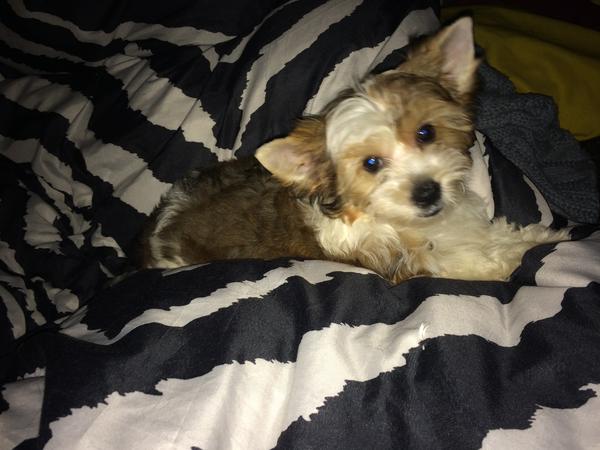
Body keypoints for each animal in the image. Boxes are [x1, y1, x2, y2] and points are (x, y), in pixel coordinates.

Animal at [137, 17, 569, 283]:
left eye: (426, 132)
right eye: (371, 164)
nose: (426, 191)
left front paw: (538, 234)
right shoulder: (426, 262)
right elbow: (483, 262)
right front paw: (532, 247)